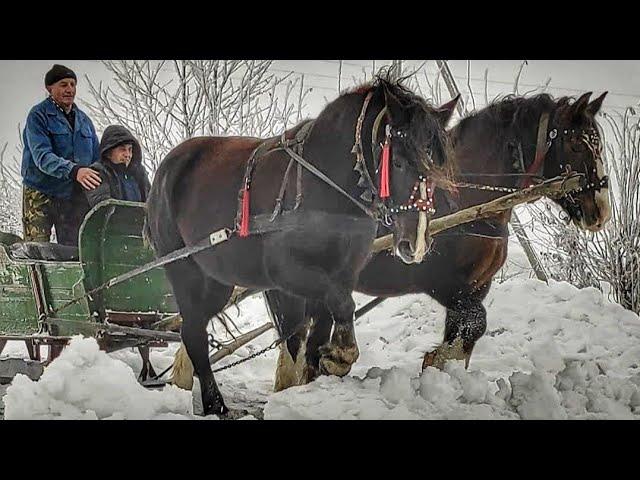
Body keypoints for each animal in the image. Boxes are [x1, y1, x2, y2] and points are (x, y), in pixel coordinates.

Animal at [146, 76, 458, 416]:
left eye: (439, 167)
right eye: (398, 162)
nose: (415, 242)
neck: (326, 186)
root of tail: (167, 167)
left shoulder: (339, 274)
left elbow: (319, 328)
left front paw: (311, 382)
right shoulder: (287, 275)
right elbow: (337, 310)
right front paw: (339, 357)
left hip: (216, 281)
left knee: (198, 326)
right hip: (184, 270)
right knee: (194, 333)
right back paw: (217, 405)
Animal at [268, 90, 612, 390]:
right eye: (576, 144)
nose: (601, 211)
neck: (466, 201)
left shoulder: (477, 286)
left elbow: (466, 333)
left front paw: (445, 372)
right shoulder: (443, 283)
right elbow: (476, 322)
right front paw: (435, 360)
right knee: (294, 336)